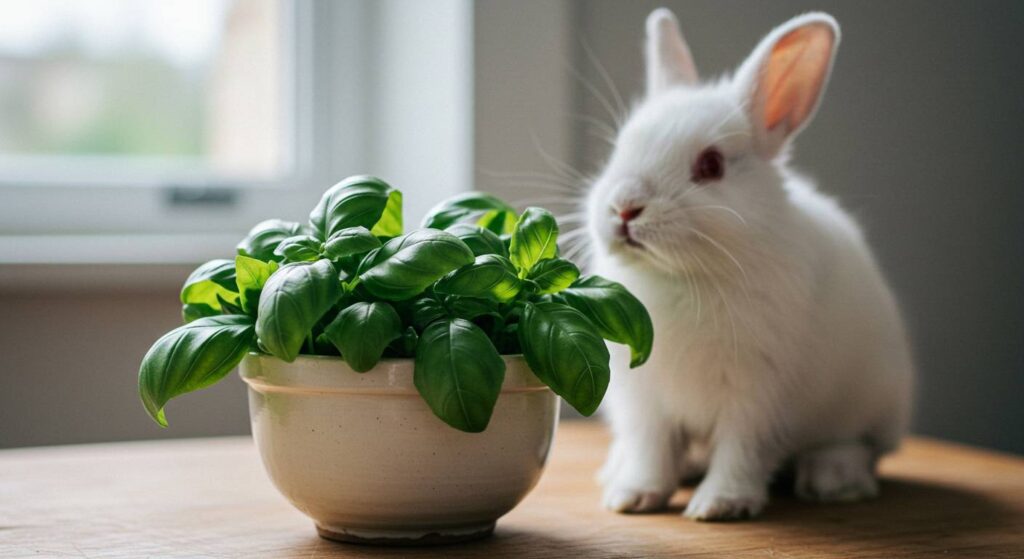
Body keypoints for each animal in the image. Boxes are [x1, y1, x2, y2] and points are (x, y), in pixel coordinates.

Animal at [589, 7, 917, 518]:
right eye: (619, 149)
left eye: (711, 166)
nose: (624, 208)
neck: (682, 277)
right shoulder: (646, 402)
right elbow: (652, 450)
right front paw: (632, 496)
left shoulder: (759, 396)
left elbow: (741, 450)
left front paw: (719, 505)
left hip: (870, 402)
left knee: (860, 446)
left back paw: (833, 480)